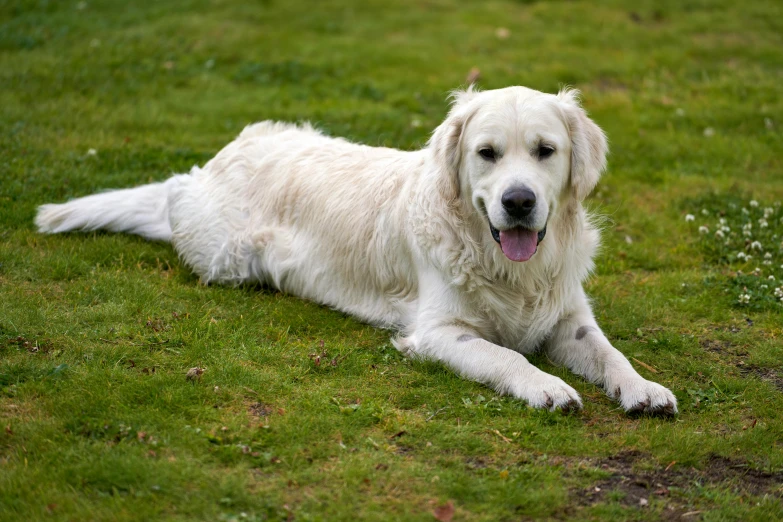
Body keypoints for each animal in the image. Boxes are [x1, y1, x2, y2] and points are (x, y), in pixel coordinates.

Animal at [33, 84, 676, 410]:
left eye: (545, 151)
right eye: (487, 153)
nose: (518, 202)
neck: (508, 266)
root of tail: (223, 155)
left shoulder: (568, 317)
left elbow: (611, 354)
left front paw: (643, 389)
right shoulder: (439, 333)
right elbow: (506, 356)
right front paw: (546, 386)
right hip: (223, 255)